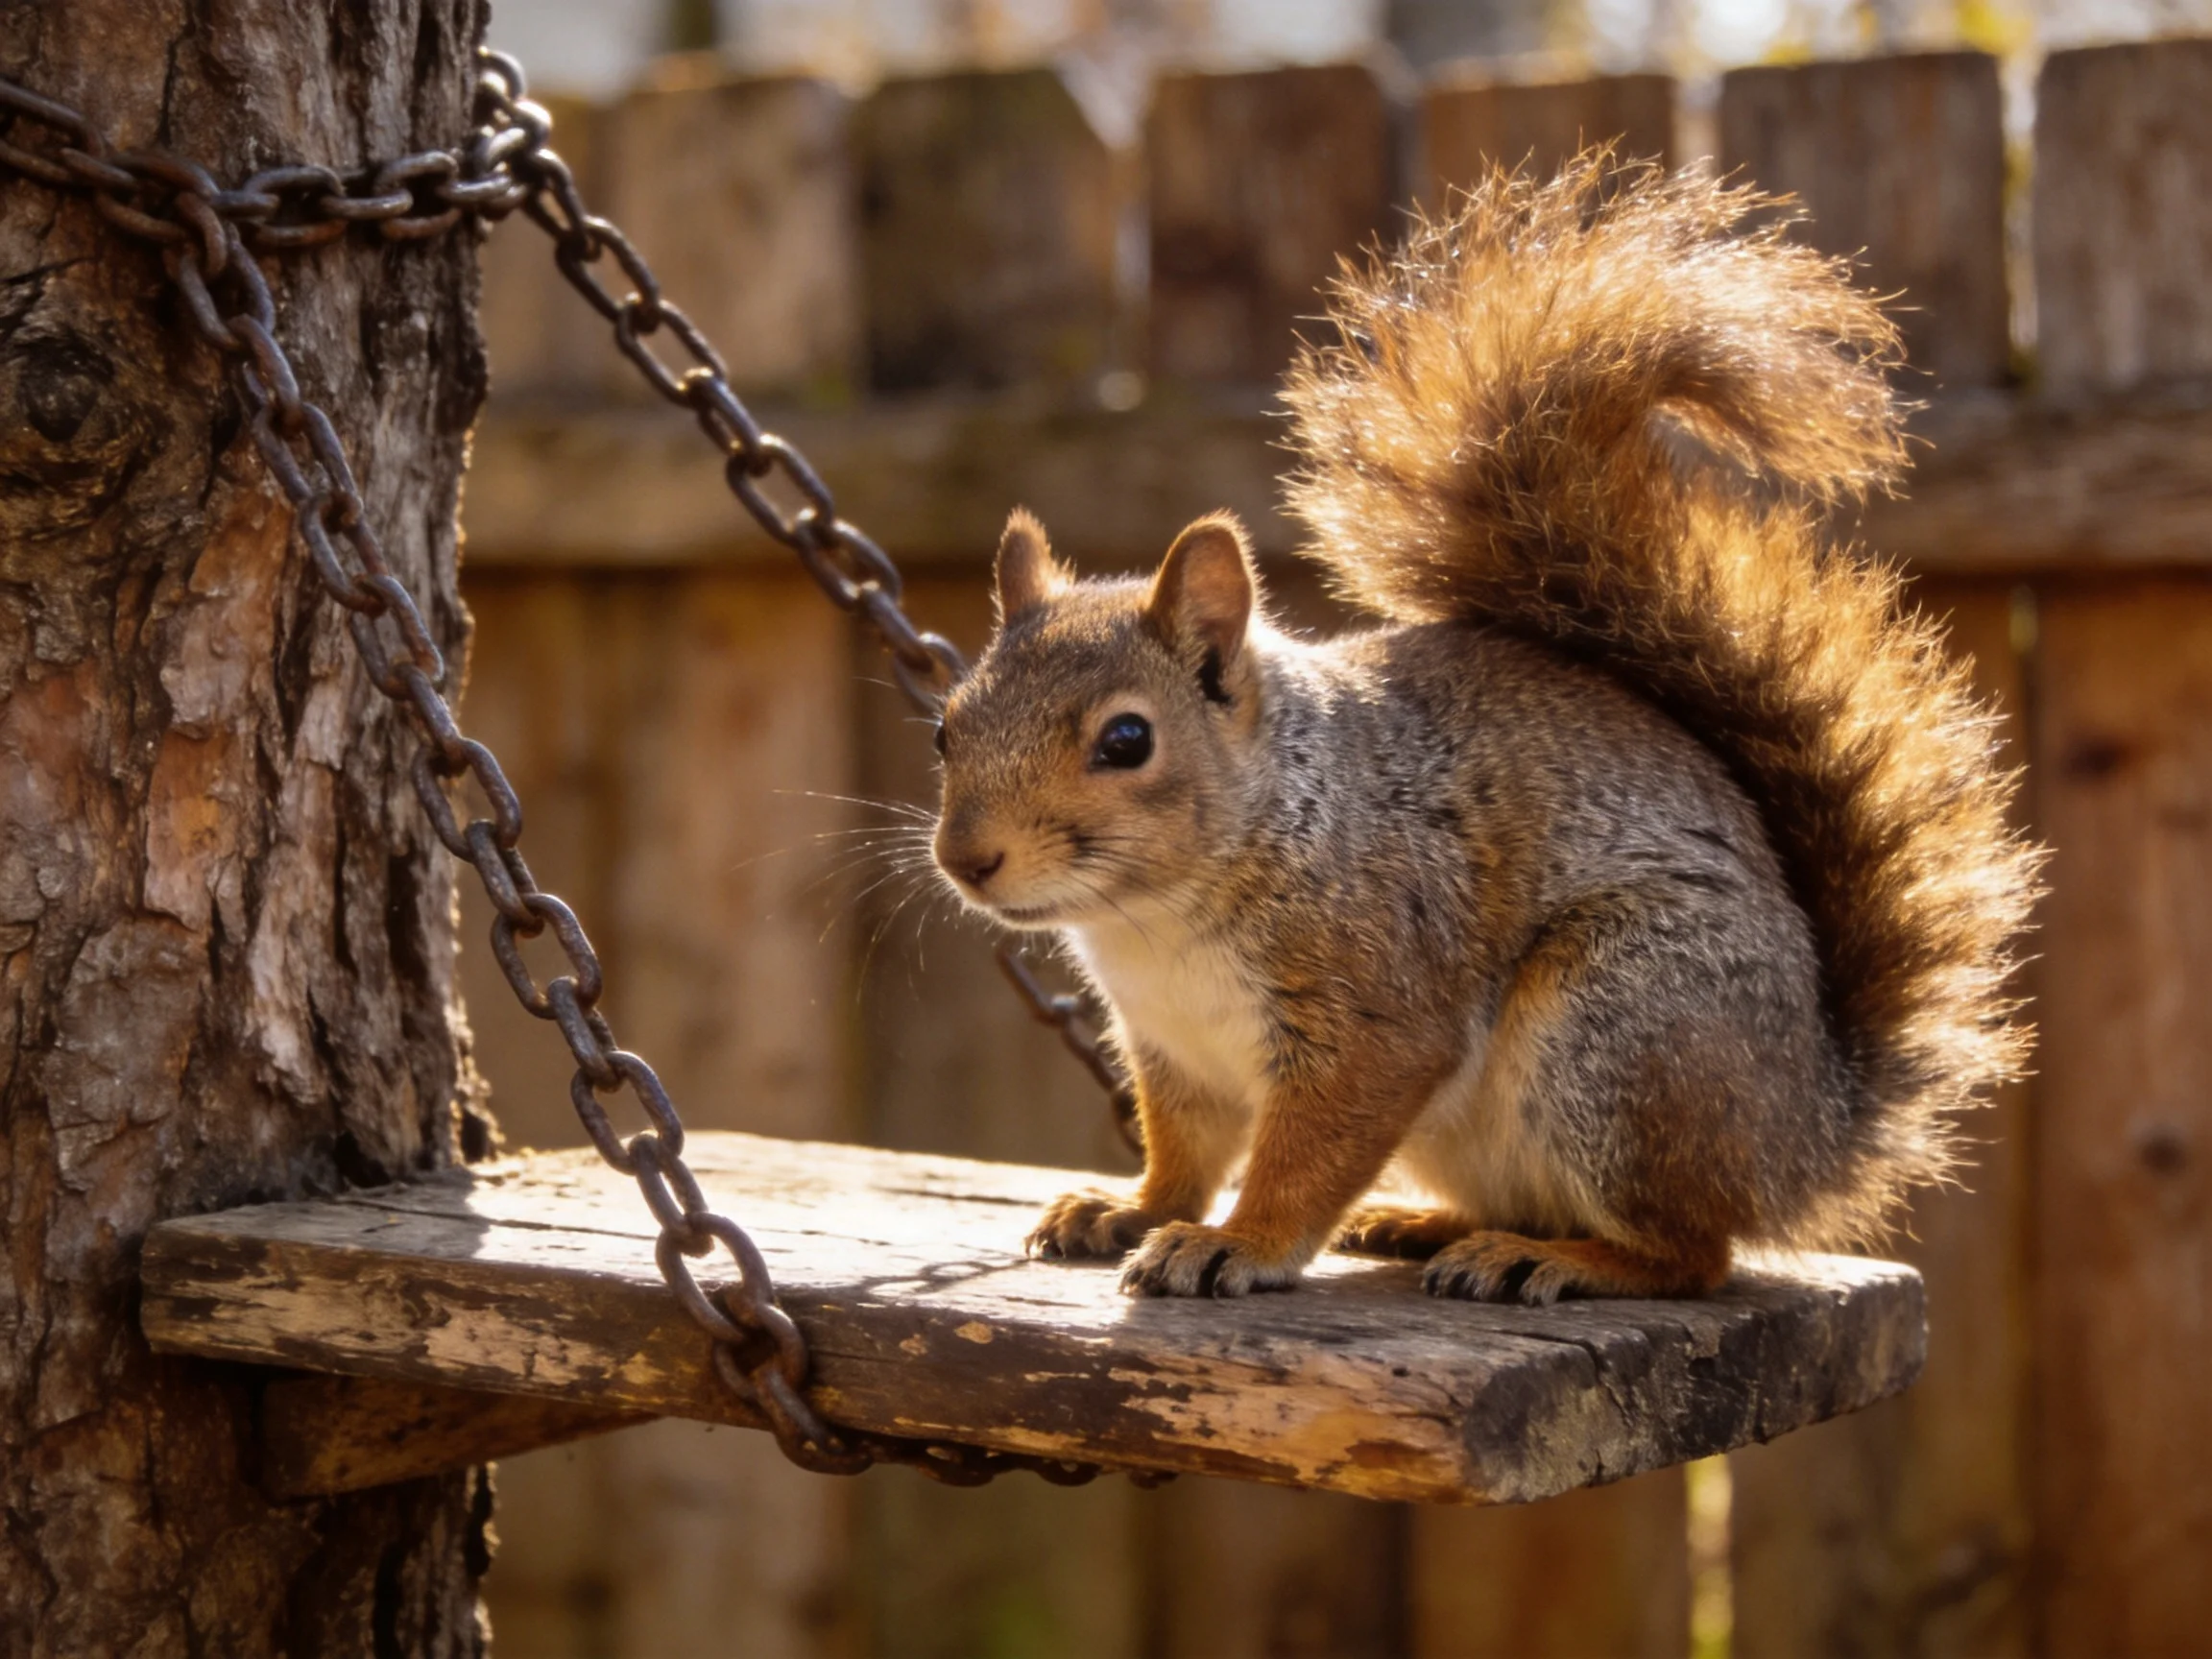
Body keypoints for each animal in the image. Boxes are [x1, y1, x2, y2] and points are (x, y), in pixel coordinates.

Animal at [928, 157, 2041, 1304]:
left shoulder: (1378, 1007)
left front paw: (1236, 1242)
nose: (967, 860)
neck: (1160, 915)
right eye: (945, 731)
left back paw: (1552, 1259)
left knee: (1692, 1253)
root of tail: (1809, 1134)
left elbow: (1309, 1149)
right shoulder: (1173, 1049)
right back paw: (1422, 1225)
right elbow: (1184, 1153)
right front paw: (1130, 1209)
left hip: (1627, 1026)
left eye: (1126, 742)